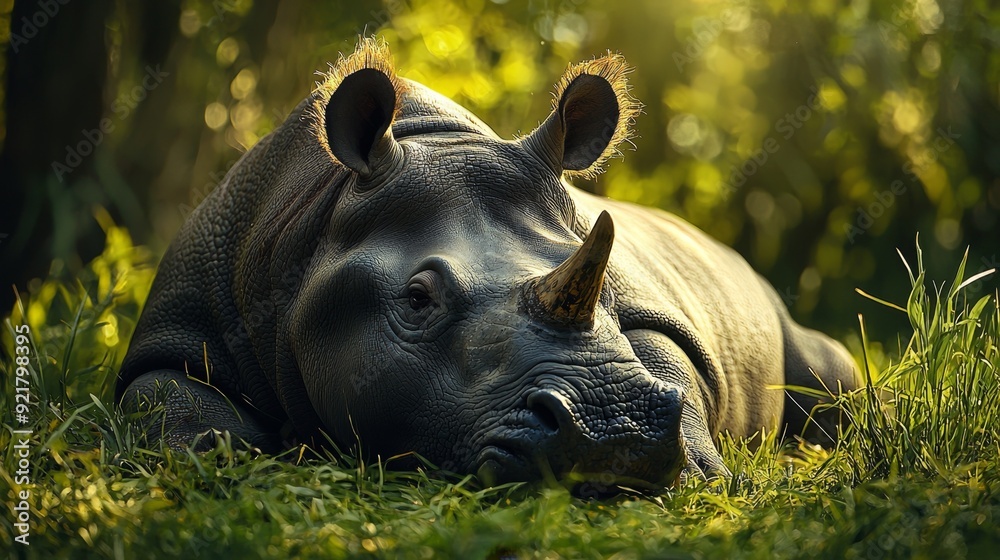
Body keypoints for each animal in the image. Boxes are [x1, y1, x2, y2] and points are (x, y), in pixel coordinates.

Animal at [116, 38, 857, 492]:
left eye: (607, 290)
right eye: (417, 300)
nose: (613, 433)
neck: (322, 214)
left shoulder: (657, 315)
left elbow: (667, 353)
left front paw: (704, 475)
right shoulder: (179, 326)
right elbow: (163, 391)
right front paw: (221, 456)